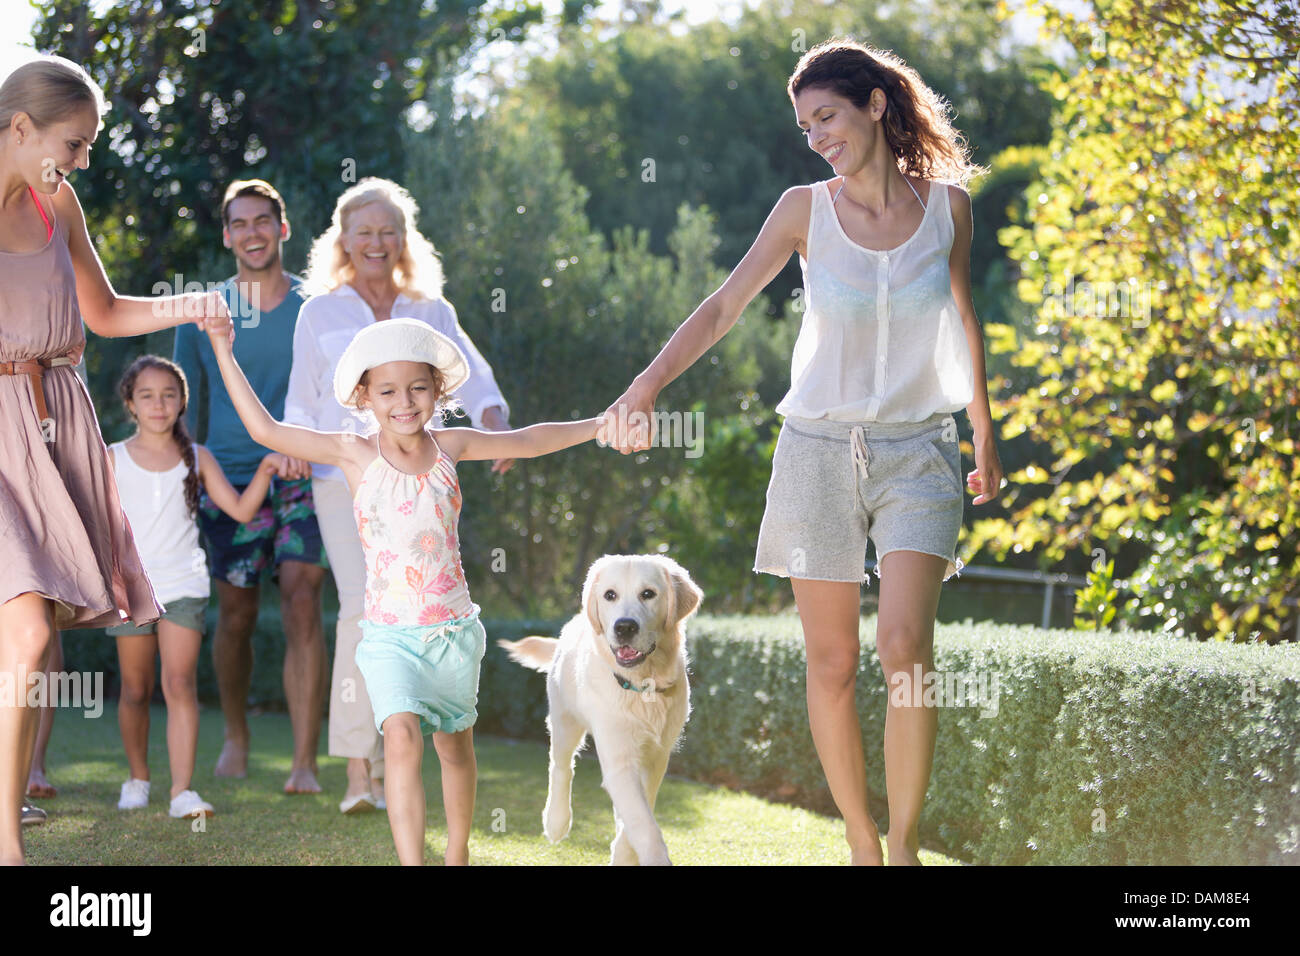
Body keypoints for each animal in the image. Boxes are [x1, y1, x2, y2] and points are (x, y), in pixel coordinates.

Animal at [496, 554, 702, 868]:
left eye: (648, 594)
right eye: (610, 595)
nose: (624, 627)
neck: (642, 686)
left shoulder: (656, 757)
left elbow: (638, 813)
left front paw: (624, 855)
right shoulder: (619, 758)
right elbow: (642, 822)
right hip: (565, 721)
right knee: (561, 767)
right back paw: (556, 821)